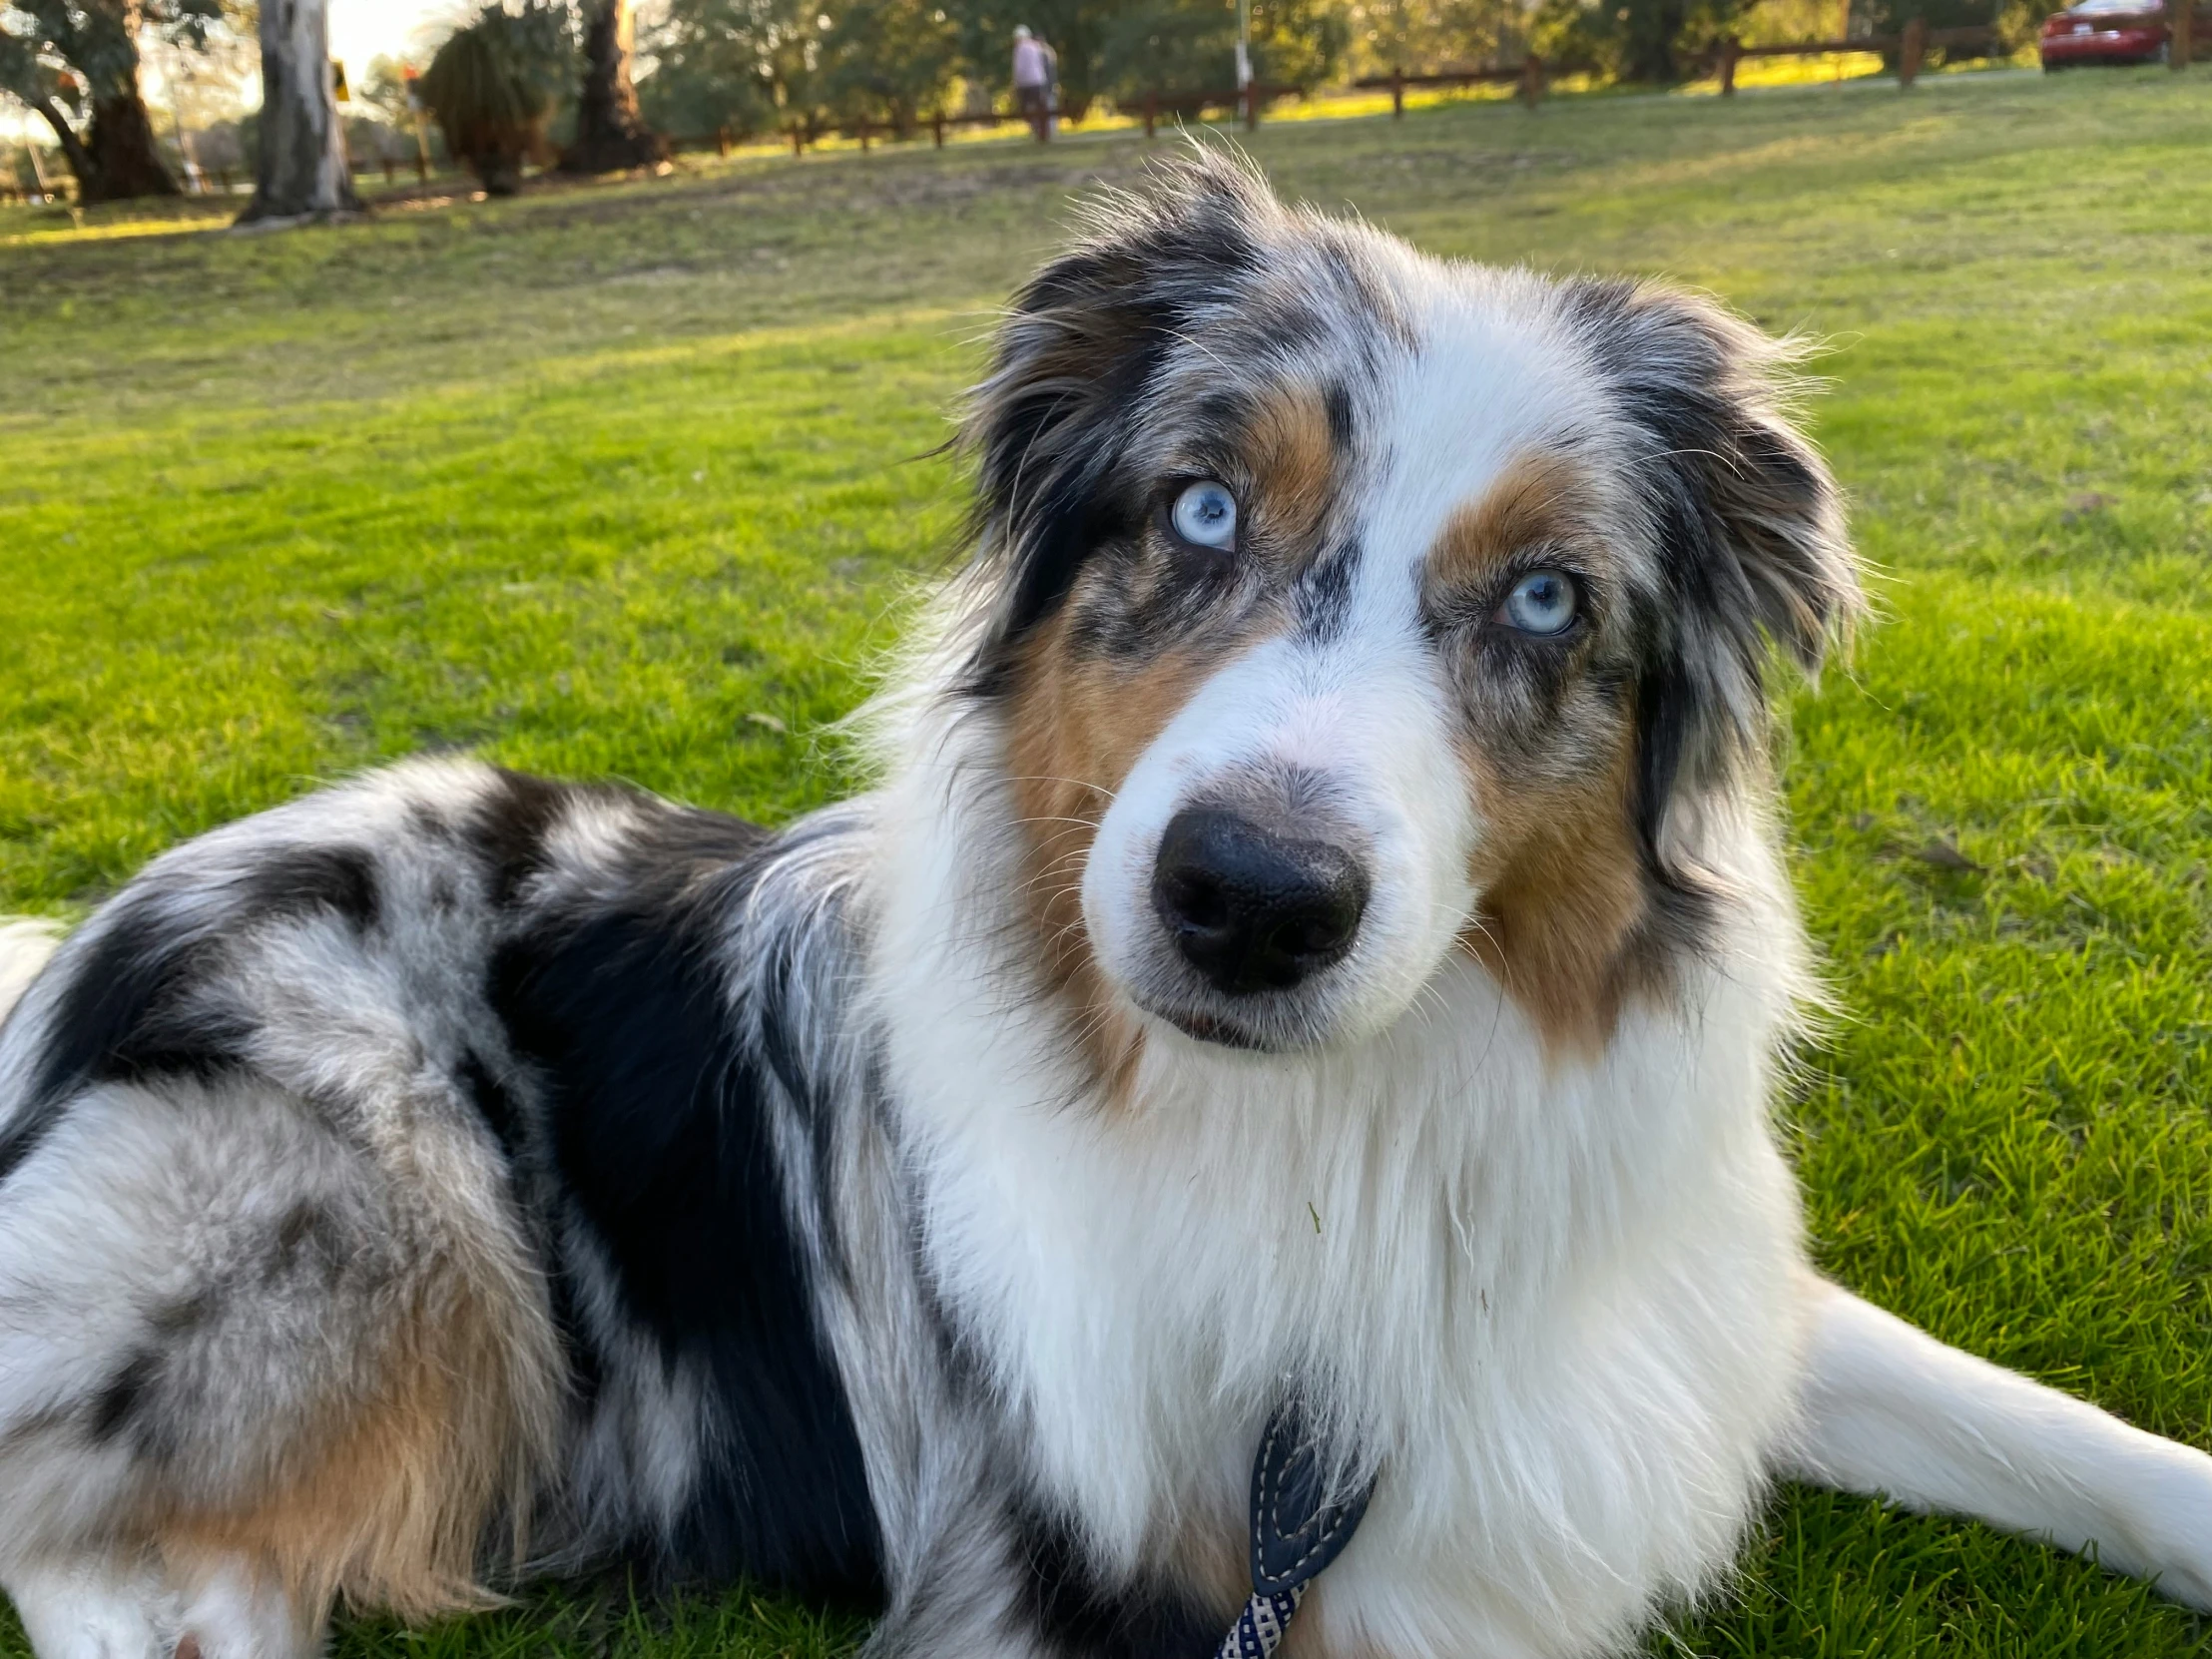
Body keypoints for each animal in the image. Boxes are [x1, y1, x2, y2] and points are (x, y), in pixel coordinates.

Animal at [4, 156, 2212, 1659]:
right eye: (1204, 509)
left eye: (1545, 600)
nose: (1251, 898)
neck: (1347, 1141)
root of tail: (84, 943)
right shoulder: (1095, 1580)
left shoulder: (1654, 1312)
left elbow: (2041, 1424)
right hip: (378, 1228)